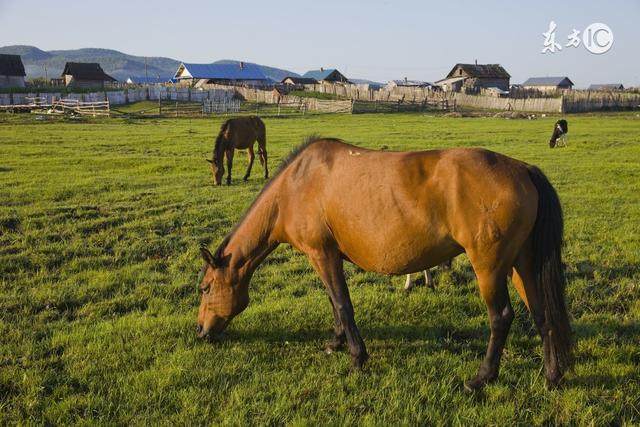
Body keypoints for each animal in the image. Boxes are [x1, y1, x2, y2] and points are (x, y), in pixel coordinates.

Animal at [198, 137, 572, 392]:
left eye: (204, 288)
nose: (200, 331)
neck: (295, 186)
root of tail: (523, 169)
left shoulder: (322, 254)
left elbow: (342, 304)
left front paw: (356, 357)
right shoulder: (327, 257)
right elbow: (334, 303)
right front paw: (336, 342)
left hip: (490, 267)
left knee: (502, 317)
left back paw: (482, 378)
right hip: (522, 264)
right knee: (542, 314)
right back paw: (552, 375)